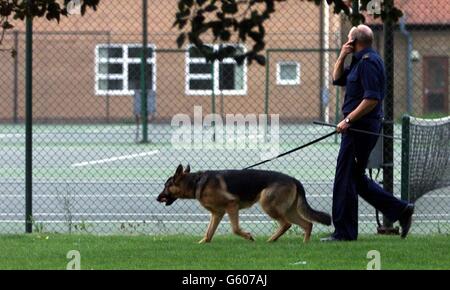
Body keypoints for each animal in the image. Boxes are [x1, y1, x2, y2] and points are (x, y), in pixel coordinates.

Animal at [157, 165, 330, 242]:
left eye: (165, 186)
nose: (157, 198)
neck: (196, 182)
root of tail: (294, 179)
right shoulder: (217, 214)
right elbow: (208, 234)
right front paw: (201, 245)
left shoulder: (231, 206)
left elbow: (235, 229)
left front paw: (248, 236)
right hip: (289, 210)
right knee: (307, 224)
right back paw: (304, 244)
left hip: (268, 205)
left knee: (287, 224)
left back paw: (271, 241)